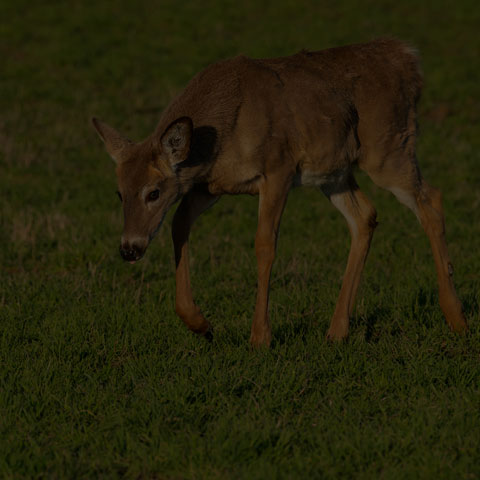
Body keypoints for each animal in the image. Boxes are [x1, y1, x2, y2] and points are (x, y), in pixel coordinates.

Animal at [92, 36, 466, 344]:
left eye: (153, 192)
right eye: (119, 193)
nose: (129, 249)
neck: (224, 130)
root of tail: (408, 57)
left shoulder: (278, 168)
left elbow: (264, 245)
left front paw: (260, 337)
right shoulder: (209, 184)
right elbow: (179, 224)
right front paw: (201, 324)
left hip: (387, 147)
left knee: (431, 199)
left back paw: (456, 317)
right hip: (334, 172)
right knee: (366, 216)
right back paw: (337, 331)